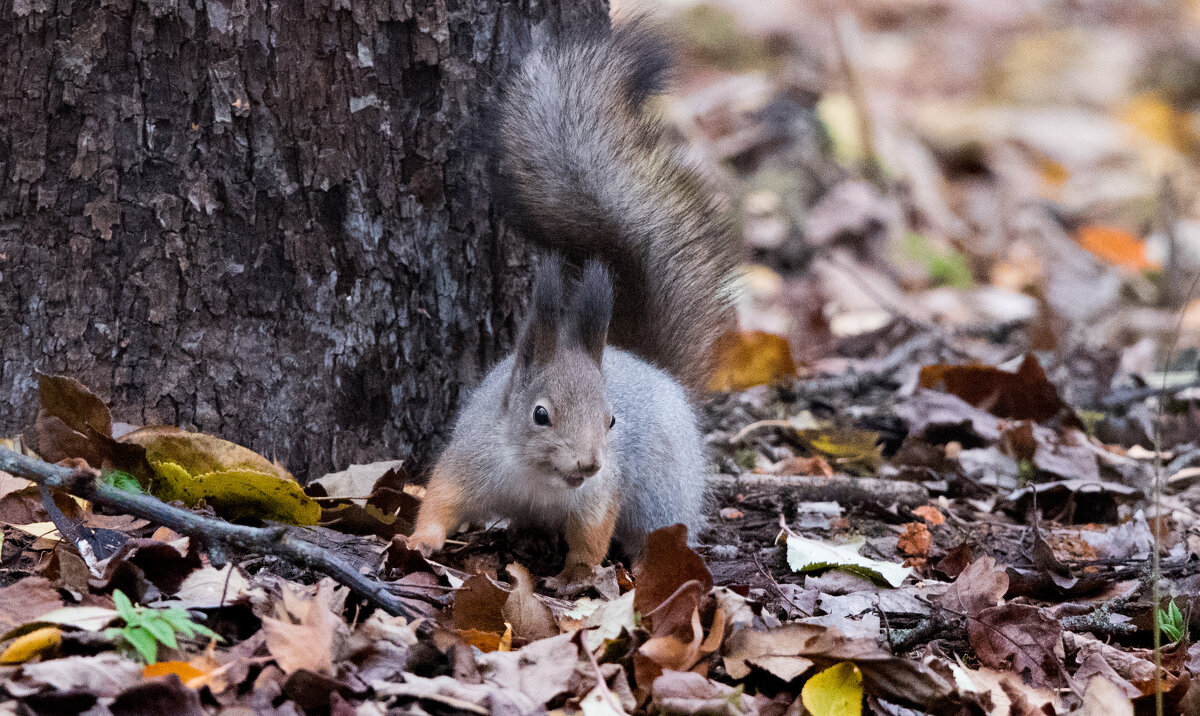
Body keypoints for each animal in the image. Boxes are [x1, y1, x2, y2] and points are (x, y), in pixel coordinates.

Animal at [408, 18, 734, 580]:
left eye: (611, 420)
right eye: (540, 415)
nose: (589, 462)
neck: (539, 479)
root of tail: (654, 369)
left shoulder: (599, 493)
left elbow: (593, 533)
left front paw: (578, 575)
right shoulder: (471, 458)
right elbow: (440, 499)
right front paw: (419, 540)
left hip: (664, 494)